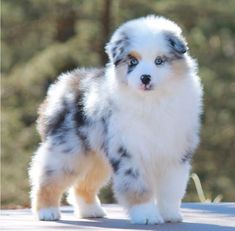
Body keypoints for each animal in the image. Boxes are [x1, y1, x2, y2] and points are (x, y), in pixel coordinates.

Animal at [28, 15, 202, 225]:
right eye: (133, 61)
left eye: (159, 61)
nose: (145, 78)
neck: (151, 101)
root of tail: (63, 84)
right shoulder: (130, 151)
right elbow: (138, 186)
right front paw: (146, 215)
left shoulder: (175, 153)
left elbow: (171, 189)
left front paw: (170, 214)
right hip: (68, 151)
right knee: (47, 179)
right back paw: (47, 211)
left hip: (97, 157)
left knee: (82, 185)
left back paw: (91, 211)